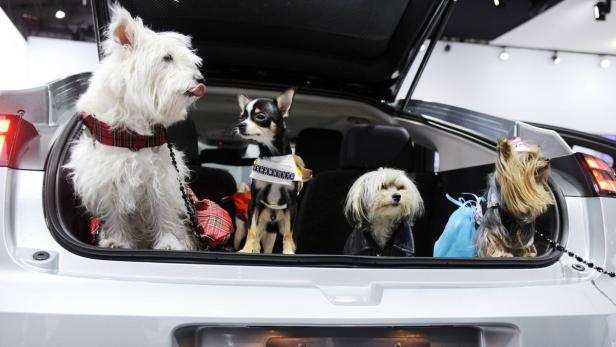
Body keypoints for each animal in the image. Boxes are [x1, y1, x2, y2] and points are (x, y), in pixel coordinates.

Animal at [65, 5, 206, 250]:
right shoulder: (106, 179)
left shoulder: (161, 178)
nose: (200, 80)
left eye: (190, 61)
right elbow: (115, 214)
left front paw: (169, 242)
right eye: (167, 57)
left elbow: (163, 211)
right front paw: (118, 241)